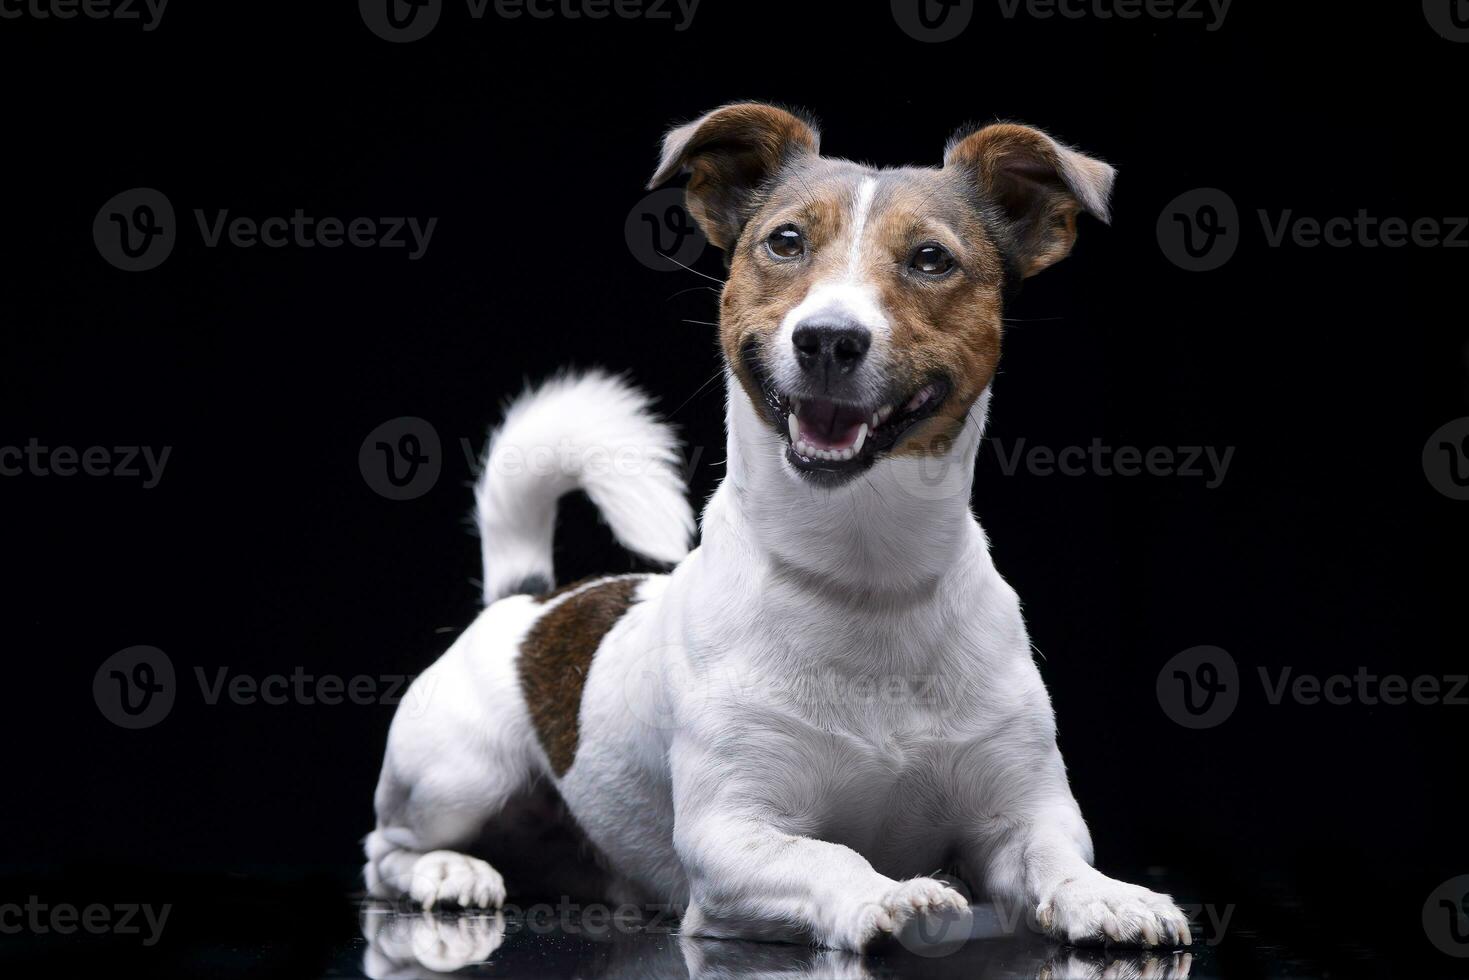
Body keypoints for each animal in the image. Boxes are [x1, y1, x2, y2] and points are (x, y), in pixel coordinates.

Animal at [364, 103, 1192, 952]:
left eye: (931, 259)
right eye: (786, 242)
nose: (827, 337)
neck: (863, 575)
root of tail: (527, 598)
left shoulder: (1022, 812)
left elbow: (1057, 859)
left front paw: (1107, 895)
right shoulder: (731, 835)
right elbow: (828, 857)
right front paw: (890, 896)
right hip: (456, 776)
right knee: (386, 851)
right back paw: (449, 872)